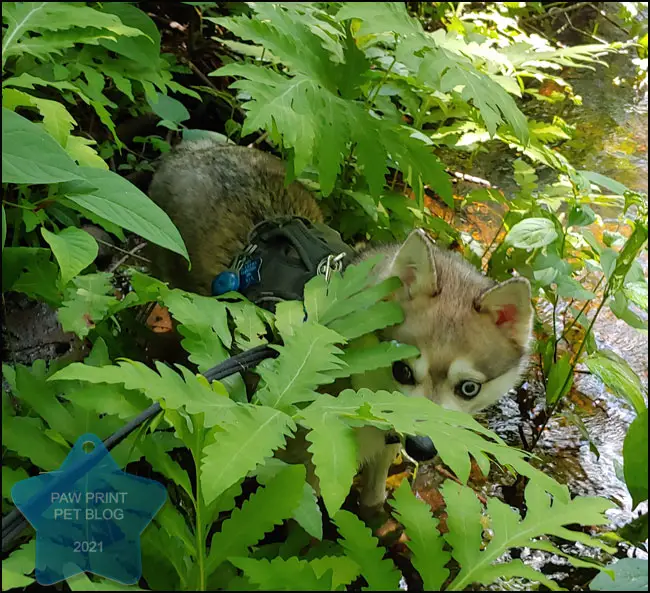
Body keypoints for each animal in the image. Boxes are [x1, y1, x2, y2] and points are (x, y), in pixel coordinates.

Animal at [147, 141, 532, 512]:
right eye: (402, 371)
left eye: (468, 388)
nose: (422, 446)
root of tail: (189, 150)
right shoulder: (306, 469)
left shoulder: (384, 447)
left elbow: (374, 501)